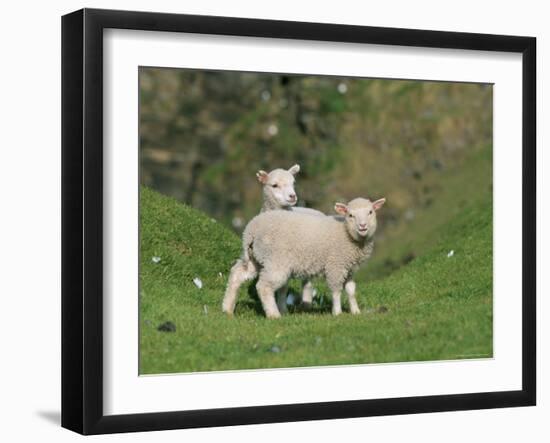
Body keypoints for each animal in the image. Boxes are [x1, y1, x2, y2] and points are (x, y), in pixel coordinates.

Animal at [224, 198, 388, 320]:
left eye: (370, 212)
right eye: (350, 215)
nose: (363, 226)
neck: (346, 232)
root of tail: (250, 230)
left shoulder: (349, 268)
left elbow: (351, 290)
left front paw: (355, 311)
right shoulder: (335, 265)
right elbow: (336, 290)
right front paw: (337, 312)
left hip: (256, 258)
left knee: (237, 274)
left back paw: (227, 308)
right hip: (275, 261)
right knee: (263, 286)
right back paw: (273, 314)